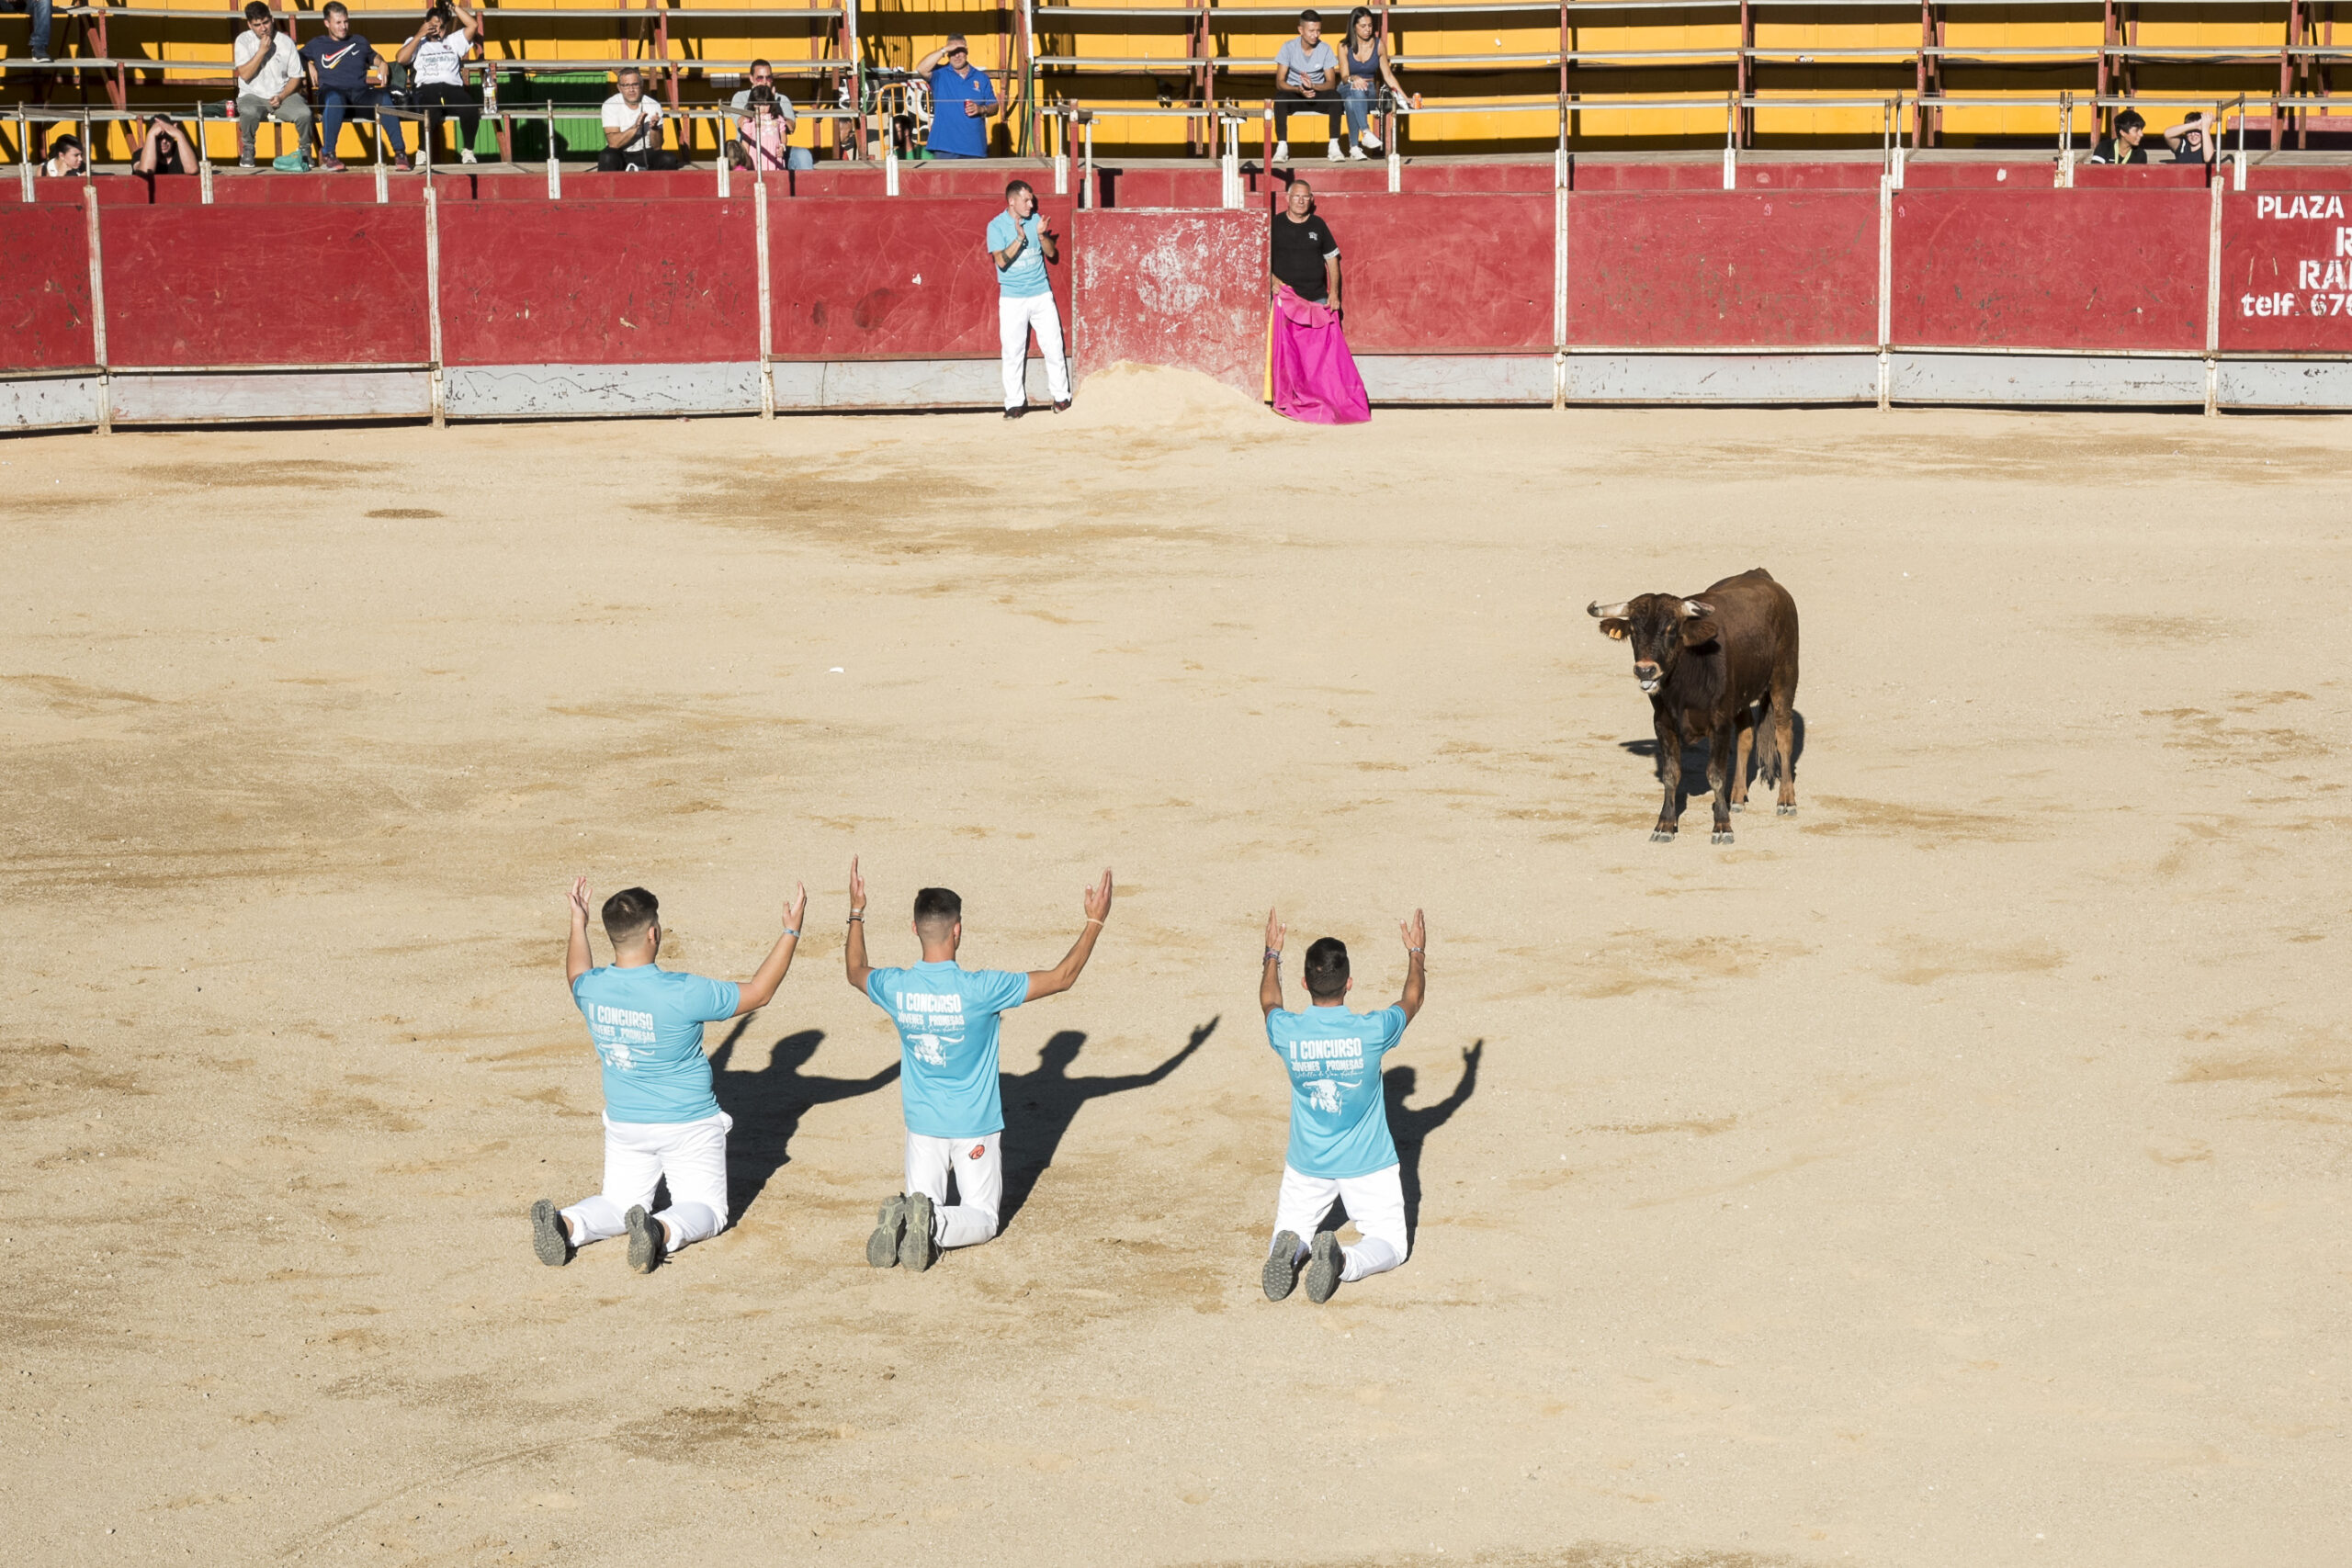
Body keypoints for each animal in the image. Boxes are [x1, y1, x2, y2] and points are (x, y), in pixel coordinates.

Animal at [1599, 570, 1796, 846]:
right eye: (1634, 630)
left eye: (1672, 628)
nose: (1645, 670)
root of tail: (1762, 576)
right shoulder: (1663, 724)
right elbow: (1671, 774)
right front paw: (1664, 825)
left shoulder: (1720, 723)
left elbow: (1715, 773)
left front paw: (1722, 827)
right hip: (1742, 697)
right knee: (1746, 736)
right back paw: (1737, 798)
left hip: (1784, 679)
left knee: (1784, 736)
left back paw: (1786, 801)